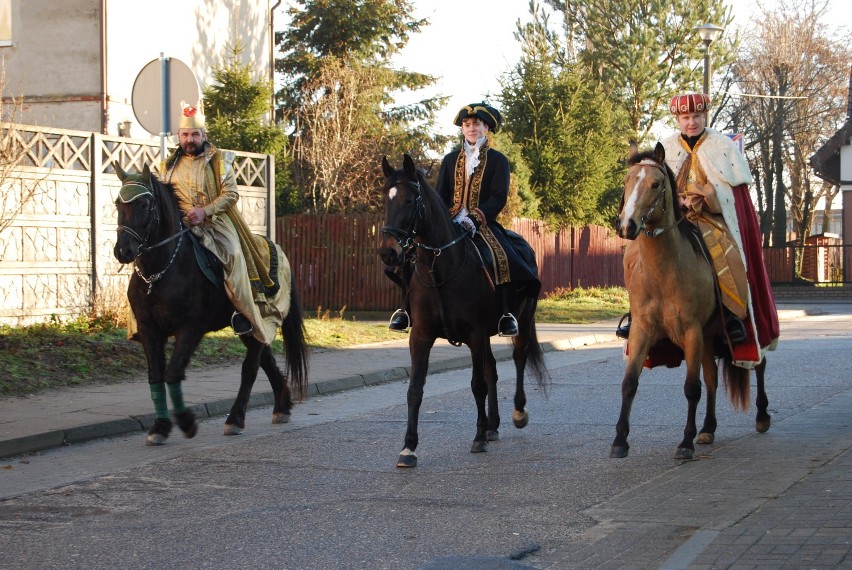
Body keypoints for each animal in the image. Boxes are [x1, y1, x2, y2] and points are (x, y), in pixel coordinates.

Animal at [113, 163, 310, 444]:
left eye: (144, 204)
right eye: (118, 203)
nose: (123, 251)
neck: (161, 272)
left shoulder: (190, 328)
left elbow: (173, 372)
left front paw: (186, 422)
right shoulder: (150, 331)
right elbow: (156, 375)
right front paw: (160, 427)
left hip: (258, 318)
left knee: (250, 368)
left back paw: (235, 419)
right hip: (252, 327)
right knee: (266, 361)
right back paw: (282, 407)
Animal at [378, 154, 544, 466]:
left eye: (410, 200)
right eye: (385, 200)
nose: (388, 252)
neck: (440, 267)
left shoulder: (475, 334)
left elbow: (477, 385)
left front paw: (478, 438)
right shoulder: (421, 336)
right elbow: (414, 389)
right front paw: (408, 448)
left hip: (522, 320)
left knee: (518, 358)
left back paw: (517, 413)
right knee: (492, 369)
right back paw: (492, 425)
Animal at [608, 142, 768, 458]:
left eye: (655, 184)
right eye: (627, 180)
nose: (626, 226)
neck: (664, 271)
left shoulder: (691, 331)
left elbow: (691, 387)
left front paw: (685, 443)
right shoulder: (642, 329)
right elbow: (630, 383)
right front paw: (620, 441)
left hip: (739, 327)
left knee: (758, 363)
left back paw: (762, 416)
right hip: (708, 337)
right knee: (713, 378)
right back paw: (707, 428)